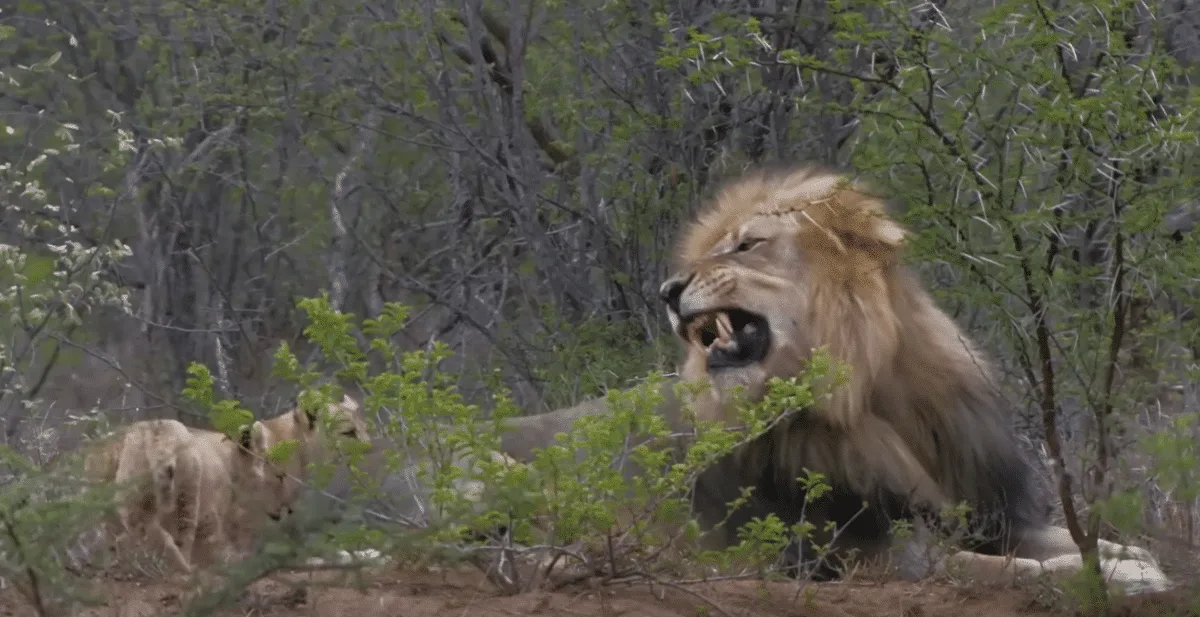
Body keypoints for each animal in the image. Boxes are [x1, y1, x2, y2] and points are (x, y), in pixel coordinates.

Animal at [494, 162, 1171, 590]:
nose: (666, 291)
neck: (869, 401)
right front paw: (1123, 576)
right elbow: (1009, 569)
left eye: (746, 245)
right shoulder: (870, 551)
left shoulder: (988, 515)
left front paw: (1134, 557)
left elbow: (1072, 539)